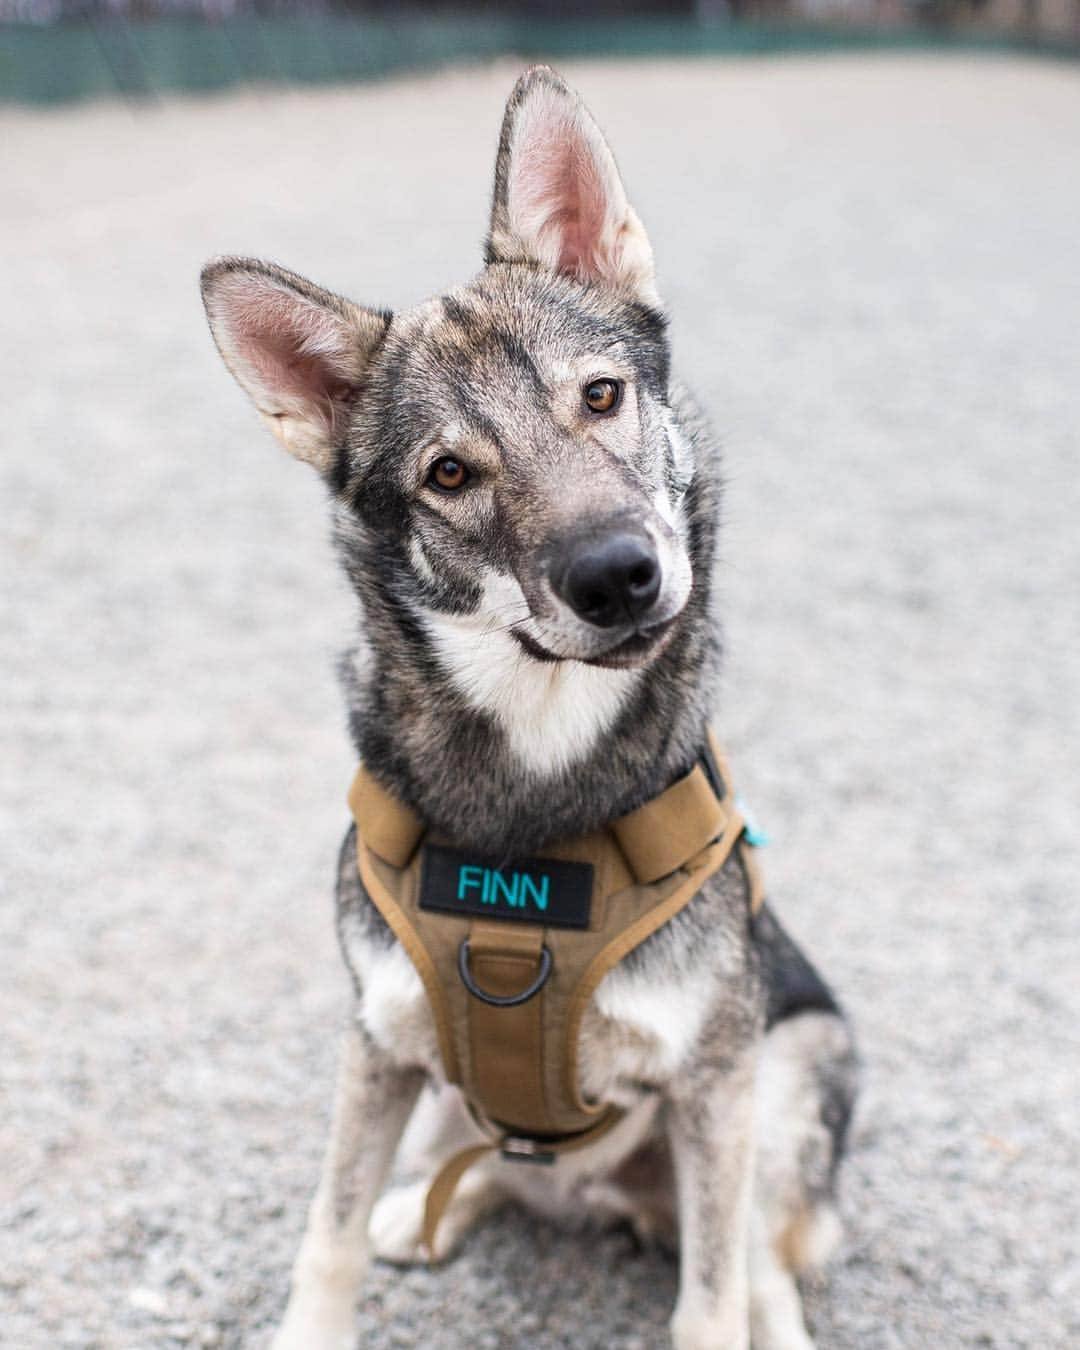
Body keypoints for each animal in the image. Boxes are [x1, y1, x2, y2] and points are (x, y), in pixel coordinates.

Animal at [199, 68, 858, 1350]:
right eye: (450, 474)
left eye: (601, 397)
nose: (619, 576)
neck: (531, 797)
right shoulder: (376, 1041)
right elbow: (324, 1240)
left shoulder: (715, 1079)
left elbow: (712, 1301)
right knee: (489, 1165)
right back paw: (428, 1210)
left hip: (793, 1062)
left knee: (764, 1263)